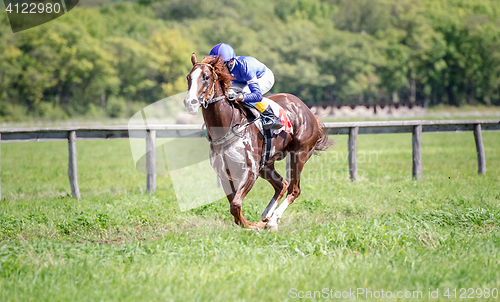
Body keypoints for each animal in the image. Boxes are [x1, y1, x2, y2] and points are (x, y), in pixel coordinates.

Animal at [183, 53, 332, 230]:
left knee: (294, 190)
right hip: (266, 164)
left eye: (206, 77)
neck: (228, 126)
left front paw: (252, 225)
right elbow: (234, 206)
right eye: (188, 77)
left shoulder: (250, 171)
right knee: (282, 184)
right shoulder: (224, 173)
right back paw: (266, 216)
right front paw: (252, 224)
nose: (190, 102)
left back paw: (273, 220)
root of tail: (308, 111)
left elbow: (235, 205)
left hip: (299, 154)